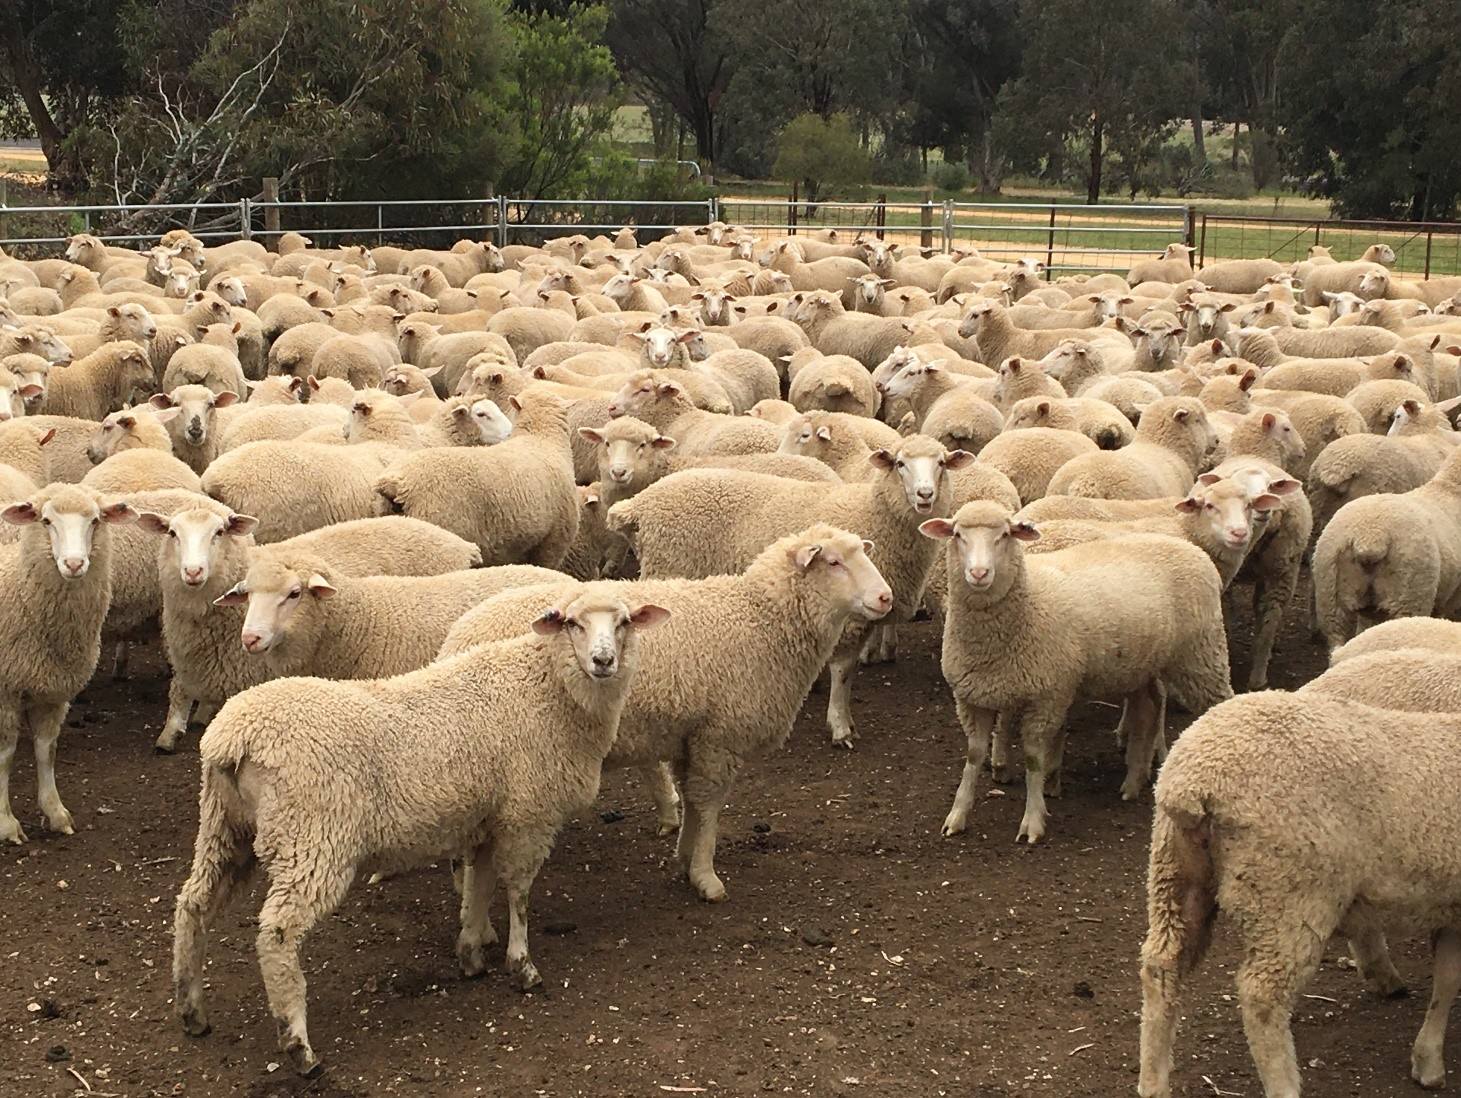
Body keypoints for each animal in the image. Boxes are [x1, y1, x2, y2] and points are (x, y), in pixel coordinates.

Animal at [0, 485, 136, 842]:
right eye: (45, 520)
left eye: (95, 520)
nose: (74, 564)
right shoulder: (5, 693)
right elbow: (5, 756)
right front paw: (6, 823)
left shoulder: (53, 692)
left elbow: (46, 750)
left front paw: (56, 812)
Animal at [172, 587, 665, 1076]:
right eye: (573, 624)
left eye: (623, 623)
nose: (603, 660)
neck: (550, 688)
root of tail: (234, 737)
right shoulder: (529, 814)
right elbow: (518, 894)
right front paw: (521, 966)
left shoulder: (487, 817)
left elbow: (480, 885)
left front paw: (470, 953)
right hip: (312, 838)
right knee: (277, 933)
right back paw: (298, 1045)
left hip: (225, 828)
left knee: (193, 905)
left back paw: (192, 1010)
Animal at [439, 525, 892, 901]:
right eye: (833, 562)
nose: (886, 597)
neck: (760, 619)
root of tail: (457, 637)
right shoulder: (719, 735)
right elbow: (709, 805)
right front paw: (706, 877)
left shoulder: (689, 734)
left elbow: (692, 800)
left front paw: (685, 859)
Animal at [608, 434, 971, 746]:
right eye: (900, 464)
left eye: (941, 463)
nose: (925, 495)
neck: (875, 512)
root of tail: (641, 503)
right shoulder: (848, 617)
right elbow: (843, 672)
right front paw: (840, 725)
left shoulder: (862, 612)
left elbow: (850, 669)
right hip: (668, 568)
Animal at [1138, 690, 1461, 1098]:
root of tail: (1192, 782)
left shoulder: (1452, 906)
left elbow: (1447, 977)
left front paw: (1428, 1059)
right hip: (1289, 892)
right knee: (1262, 997)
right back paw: (1284, 1085)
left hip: (1176, 875)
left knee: (1162, 968)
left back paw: (1153, 1082)